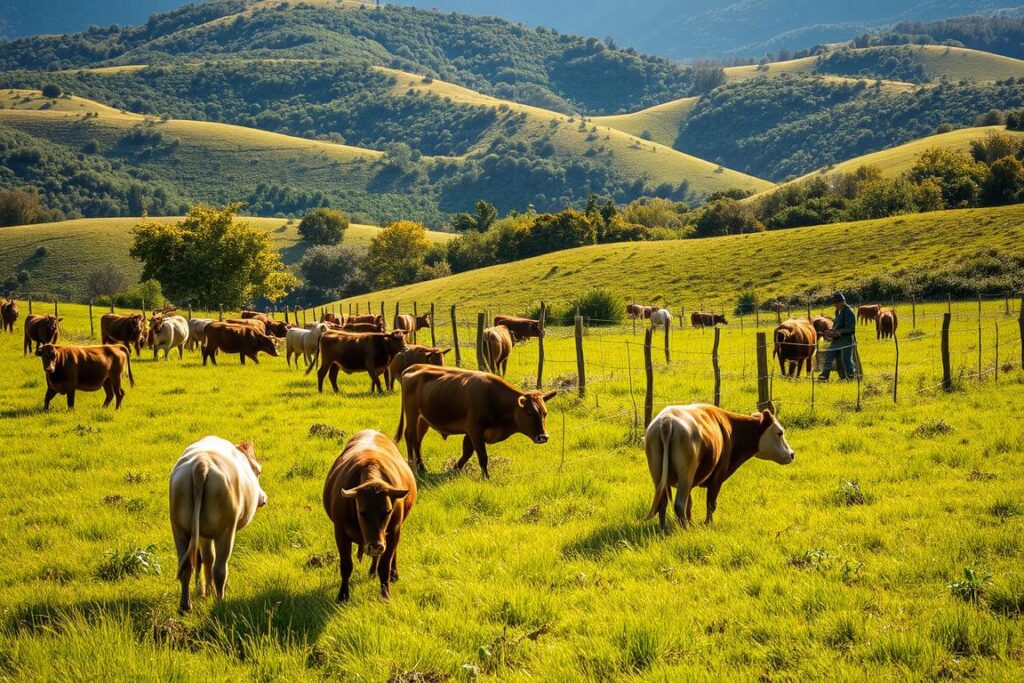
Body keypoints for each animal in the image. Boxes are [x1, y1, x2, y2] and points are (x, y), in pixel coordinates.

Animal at [169, 436, 267, 613]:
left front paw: (206, 592)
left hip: (179, 529)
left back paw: (185, 606)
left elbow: (208, 558)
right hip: (226, 531)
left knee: (186, 566)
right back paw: (220, 602)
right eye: (258, 471)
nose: (263, 498)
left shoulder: (203, 535)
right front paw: (211, 593)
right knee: (220, 569)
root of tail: (201, 464)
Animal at [324, 430, 416, 602]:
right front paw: (343, 595)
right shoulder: (340, 532)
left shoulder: (393, 531)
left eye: (387, 511)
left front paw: (385, 595)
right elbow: (346, 566)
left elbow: (385, 565)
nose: (375, 546)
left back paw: (392, 573)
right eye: (362, 512)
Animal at [396, 365, 558, 479]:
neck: (493, 398)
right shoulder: (475, 430)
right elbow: (482, 456)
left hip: (423, 420)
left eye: (544, 413)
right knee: (409, 436)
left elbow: (467, 451)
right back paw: (412, 466)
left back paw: (422, 467)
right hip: (412, 414)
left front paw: (454, 469)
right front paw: (486, 478)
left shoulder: (471, 433)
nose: (543, 437)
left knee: (417, 441)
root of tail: (414, 367)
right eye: (529, 413)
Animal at [645, 404, 794, 530]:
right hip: (685, 476)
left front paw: (692, 522)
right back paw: (685, 529)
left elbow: (690, 504)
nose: (792, 454)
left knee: (662, 502)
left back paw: (664, 528)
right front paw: (708, 524)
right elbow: (710, 503)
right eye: (780, 432)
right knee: (679, 504)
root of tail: (667, 420)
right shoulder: (717, 477)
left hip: (659, 476)